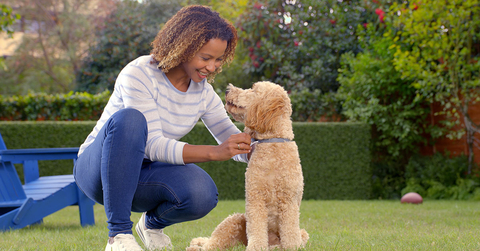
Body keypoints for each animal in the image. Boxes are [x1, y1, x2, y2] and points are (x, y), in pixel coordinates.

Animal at [186, 81, 310, 250]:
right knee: (211, 244)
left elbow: (290, 232)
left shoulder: (289, 202)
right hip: (233, 221)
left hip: (302, 233)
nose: (227, 90)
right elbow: (256, 228)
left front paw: (292, 247)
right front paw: (256, 247)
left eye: (253, 89)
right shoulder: (255, 198)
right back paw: (196, 246)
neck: (272, 144)